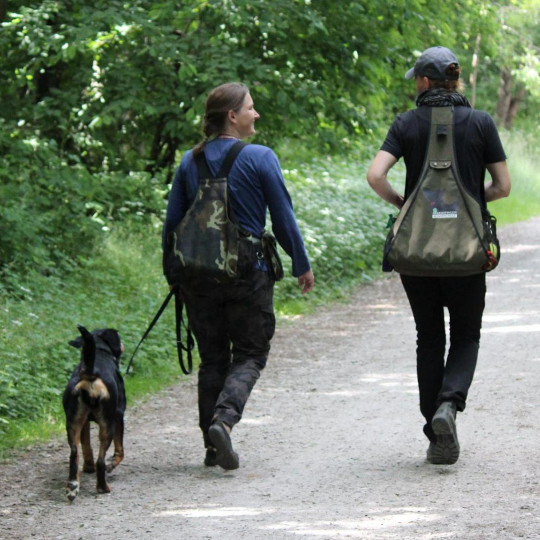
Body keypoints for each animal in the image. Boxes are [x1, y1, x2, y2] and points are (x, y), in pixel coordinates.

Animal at [62, 322, 126, 500]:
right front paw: (111, 465)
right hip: (107, 425)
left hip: (73, 423)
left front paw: (88, 466)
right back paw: (103, 487)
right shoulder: (119, 417)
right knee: (101, 460)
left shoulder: (83, 423)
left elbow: (86, 446)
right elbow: (120, 451)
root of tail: (90, 374)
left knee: (74, 454)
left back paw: (73, 485)